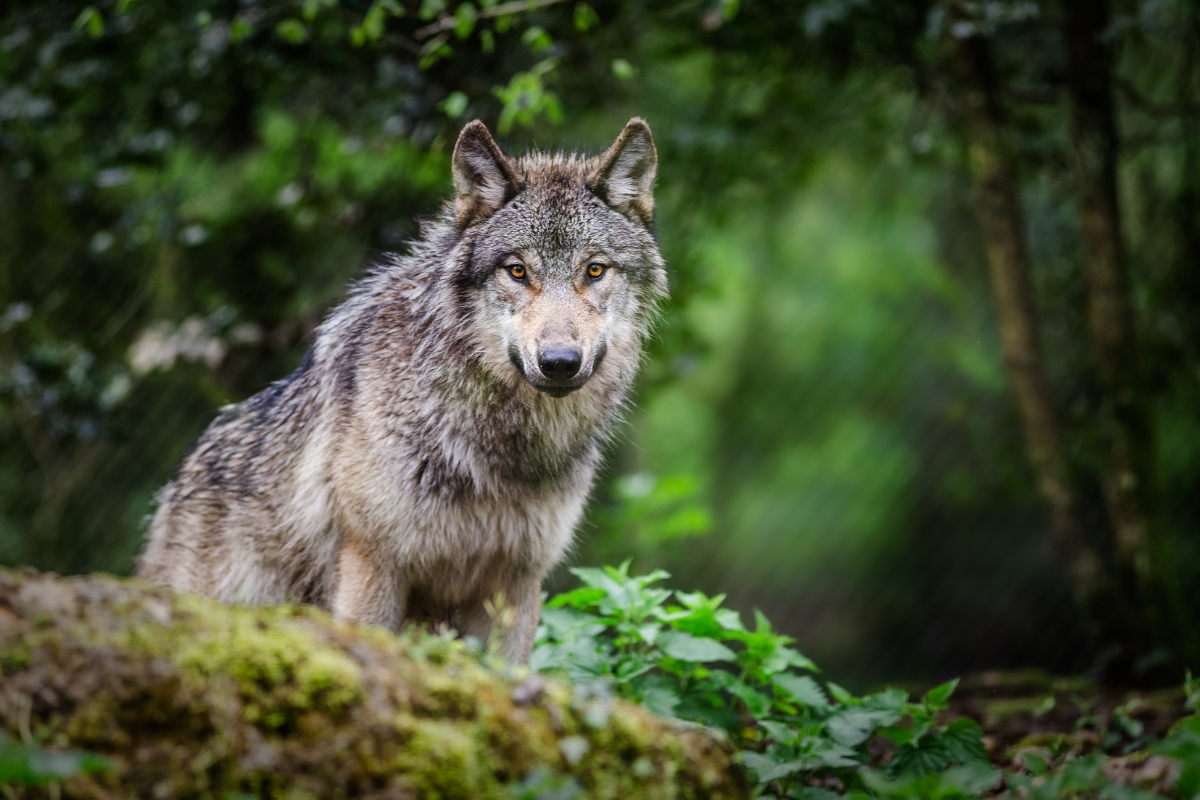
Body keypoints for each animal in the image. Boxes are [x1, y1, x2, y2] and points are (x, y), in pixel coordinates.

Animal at [137, 118, 666, 662]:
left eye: (595, 270)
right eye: (517, 271)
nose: (559, 363)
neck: (496, 449)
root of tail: (179, 482)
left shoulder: (516, 584)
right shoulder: (373, 566)